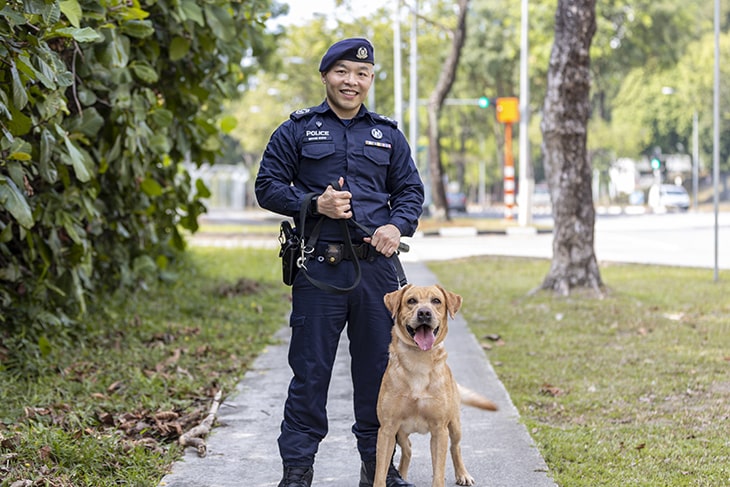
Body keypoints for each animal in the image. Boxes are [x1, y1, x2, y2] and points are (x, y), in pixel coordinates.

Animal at [372, 286, 498, 487]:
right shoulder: (387, 429)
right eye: (411, 301)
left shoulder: (440, 430)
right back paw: (402, 474)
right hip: (400, 434)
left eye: (436, 301)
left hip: (454, 425)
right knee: (408, 449)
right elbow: (380, 472)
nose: (424, 313)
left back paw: (463, 474)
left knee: (456, 447)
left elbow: (439, 471)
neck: (419, 361)